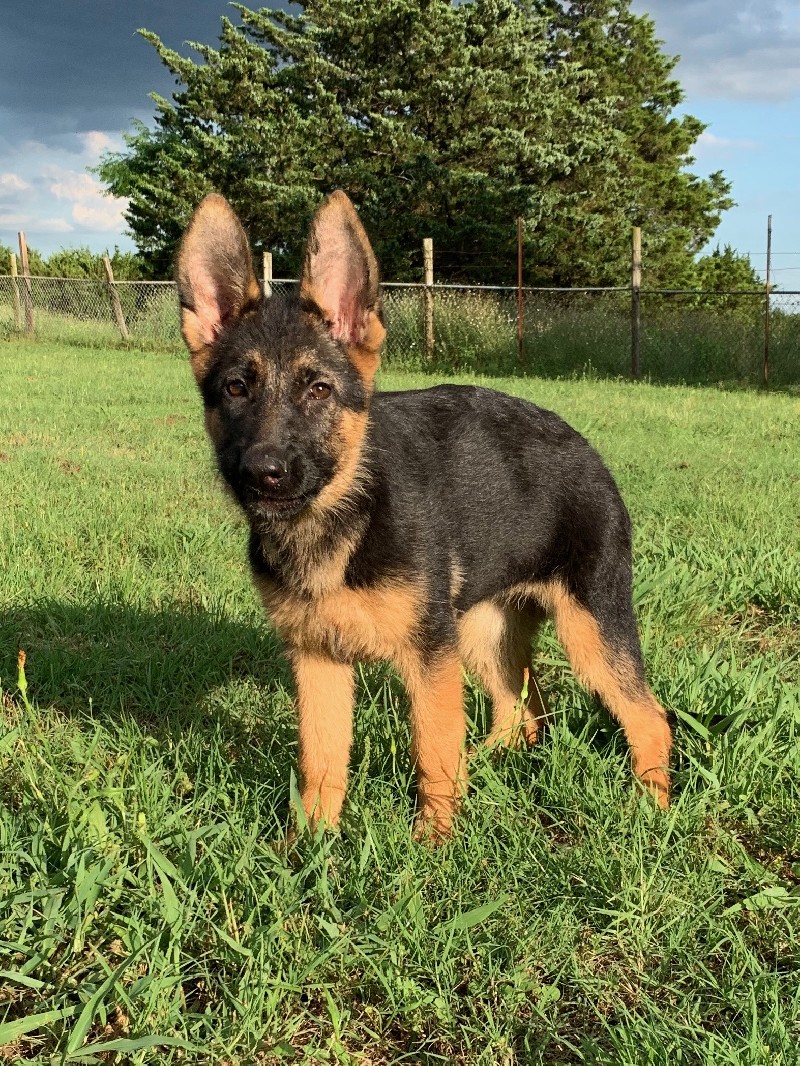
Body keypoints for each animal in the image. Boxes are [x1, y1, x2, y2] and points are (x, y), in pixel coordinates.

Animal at [178, 194, 674, 840]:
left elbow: (433, 750)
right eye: (236, 388)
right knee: (523, 710)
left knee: (648, 715)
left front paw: (432, 846)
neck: (343, 515)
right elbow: (321, 759)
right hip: (484, 631)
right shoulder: (318, 660)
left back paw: (651, 809)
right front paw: (309, 845)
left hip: (589, 630)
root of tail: (586, 449)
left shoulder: (428, 657)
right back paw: (490, 769)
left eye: (319, 390)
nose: (266, 474)